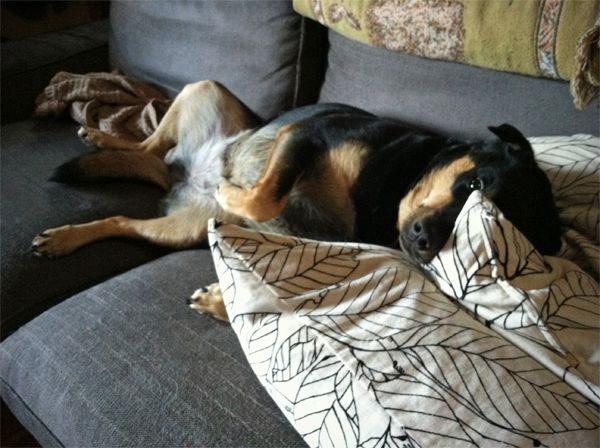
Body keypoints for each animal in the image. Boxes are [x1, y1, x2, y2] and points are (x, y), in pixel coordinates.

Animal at [30, 80, 560, 318]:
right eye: (474, 185)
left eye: (495, 223)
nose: (426, 240)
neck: (396, 188)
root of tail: (181, 174)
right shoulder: (304, 137)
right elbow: (264, 198)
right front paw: (234, 190)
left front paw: (221, 300)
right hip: (206, 89)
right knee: (146, 145)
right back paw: (102, 141)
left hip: (180, 227)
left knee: (124, 215)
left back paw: (68, 235)